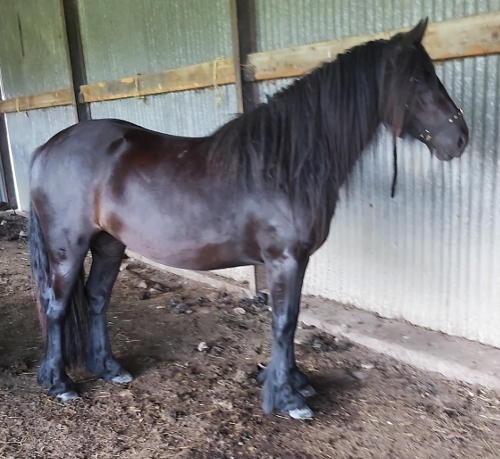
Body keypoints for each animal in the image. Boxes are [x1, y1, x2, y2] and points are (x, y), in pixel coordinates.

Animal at [29, 19, 466, 418]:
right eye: (419, 77)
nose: (460, 137)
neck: (285, 164)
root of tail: (47, 148)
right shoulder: (283, 259)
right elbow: (284, 322)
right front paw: (287, 398)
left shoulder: (298, 260)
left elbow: (291, 320)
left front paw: (295, 383)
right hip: (68, 249)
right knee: (57, 305)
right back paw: (60, 383)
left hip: (108, 245)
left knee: (97, 299)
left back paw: (109, 368)